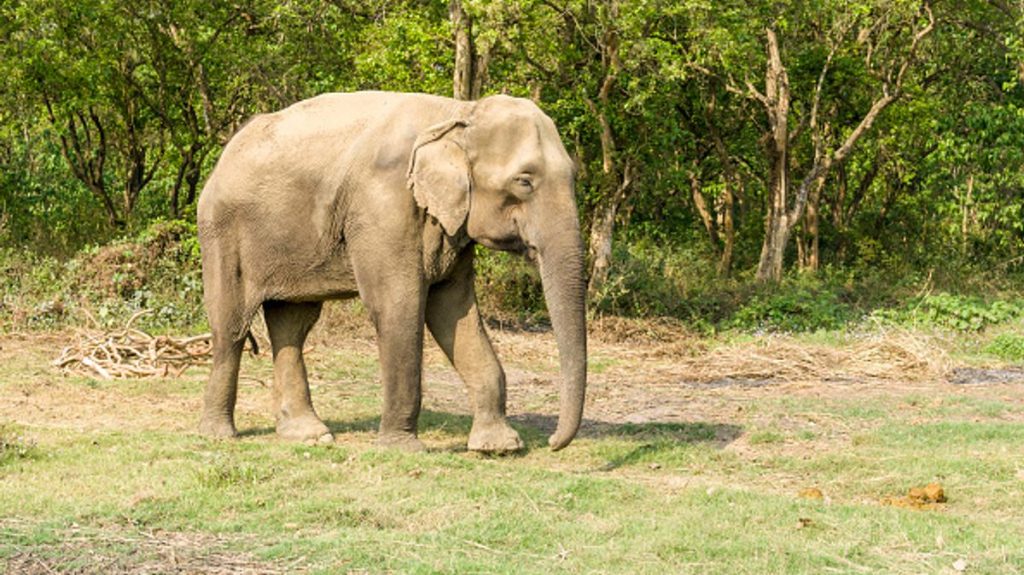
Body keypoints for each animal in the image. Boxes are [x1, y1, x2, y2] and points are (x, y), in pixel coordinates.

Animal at [196, 91, 587, 453]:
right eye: (524, 181)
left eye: (573, 176)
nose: (552, 441)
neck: (457, 112)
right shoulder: (383, 208)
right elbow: (399, 307)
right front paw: (403, 449)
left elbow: (453, 311)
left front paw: (498, 447)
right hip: (222, 231)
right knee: (232, 326)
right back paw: (219, 434)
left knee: (293, 324)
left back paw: (310, 435)